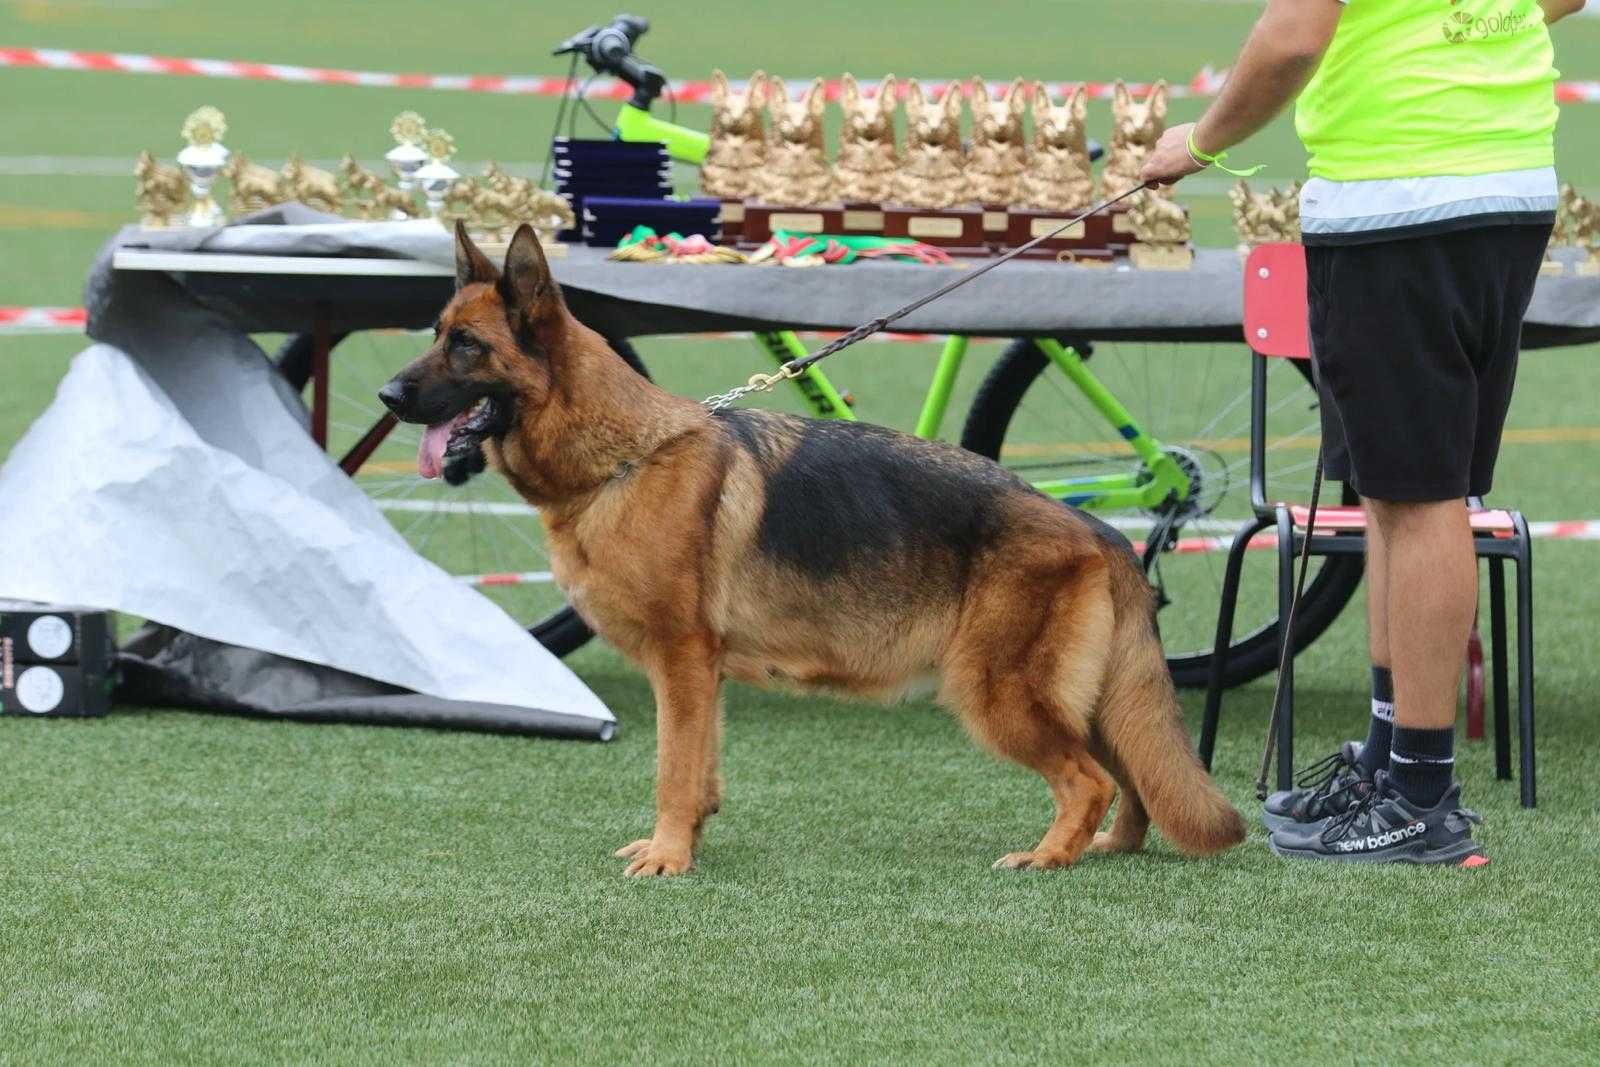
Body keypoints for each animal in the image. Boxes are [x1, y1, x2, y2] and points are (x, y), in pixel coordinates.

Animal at [377, 223, 1248, 876]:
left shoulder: (681, 660)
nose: (387, 395)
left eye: (466, 346)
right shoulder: (701, 672)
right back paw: (1110, 848)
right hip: (1086, 698)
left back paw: (1051, 855)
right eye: (434, 336)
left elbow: (670, 769)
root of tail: (1099, 532)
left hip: (996, 693)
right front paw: (688, 842)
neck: (624, 458)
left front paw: (668, 857)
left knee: (1091, 779)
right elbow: (700, 769)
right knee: (1135, 776)